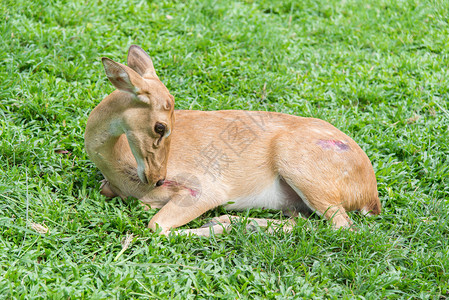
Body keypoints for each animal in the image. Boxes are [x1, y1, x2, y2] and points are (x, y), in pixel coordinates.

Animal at [84, 45, 378, 237]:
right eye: (161, 126)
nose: (158, 178)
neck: (121, 171)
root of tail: (370, 195)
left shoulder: (205, 188)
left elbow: (157, 226)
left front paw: (215, 225)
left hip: (303, 169)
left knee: (342, 226)